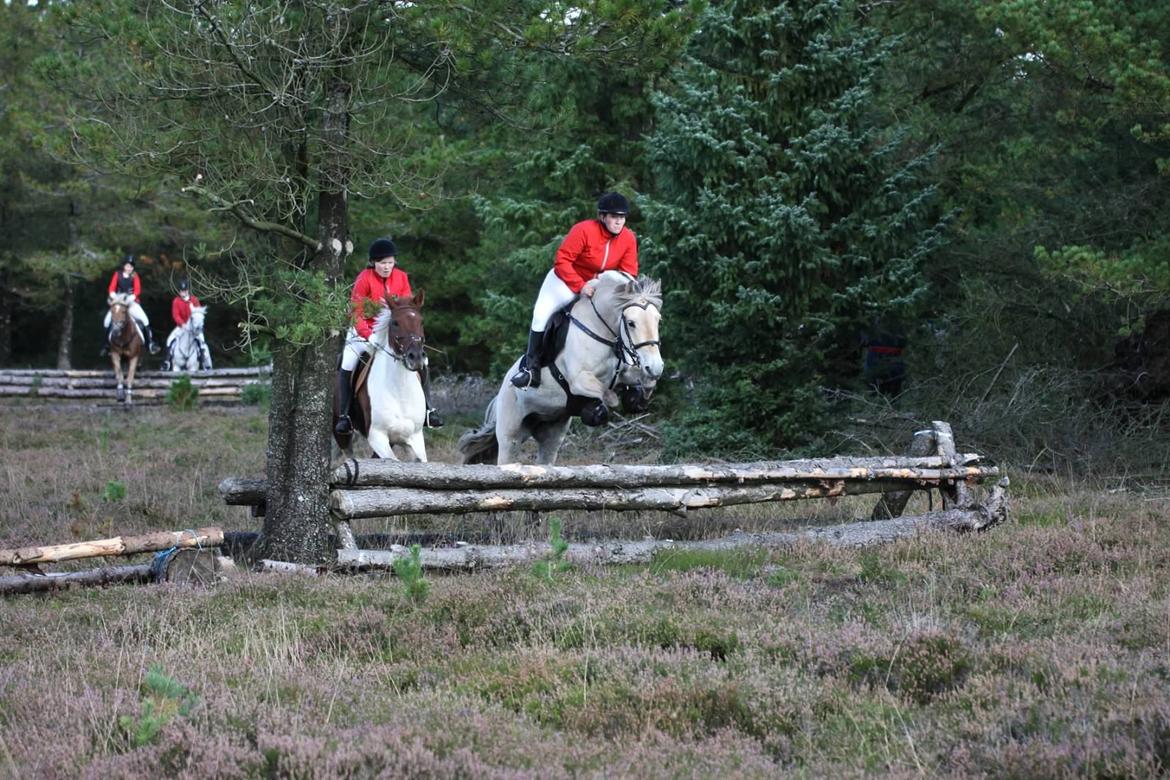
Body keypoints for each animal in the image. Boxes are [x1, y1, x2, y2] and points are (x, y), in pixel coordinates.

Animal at [458, 271, 663, 465]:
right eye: (631, 323)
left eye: (658, 320)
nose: (656, 366)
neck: (600, 331)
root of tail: (501, 392)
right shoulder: (578, 380)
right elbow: (608, 396)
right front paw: (595, 411)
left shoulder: (624, 373)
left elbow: (645, 382)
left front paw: (638, 397)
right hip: (510, 435)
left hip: (551, 435)